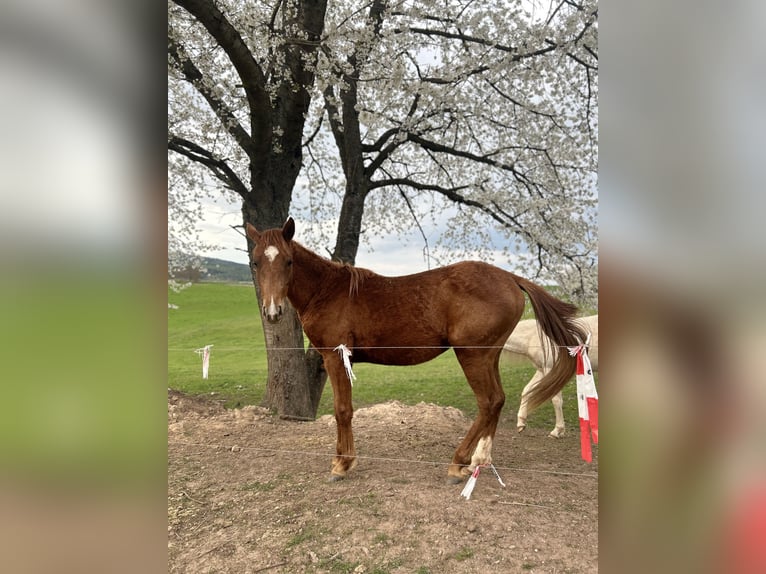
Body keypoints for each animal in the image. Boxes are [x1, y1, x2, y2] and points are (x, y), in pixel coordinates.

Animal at [246, 218, 587, 483]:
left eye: (288, 261)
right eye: (255, 261)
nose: (272, 311)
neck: (329, 291)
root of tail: (511, 278)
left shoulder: (334, 357)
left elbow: (343, 410)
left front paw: (342, 464)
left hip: (472, 356)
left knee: (488, 402)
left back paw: (458, 463)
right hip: (489, 356)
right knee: (498, 401)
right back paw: (478, 461)